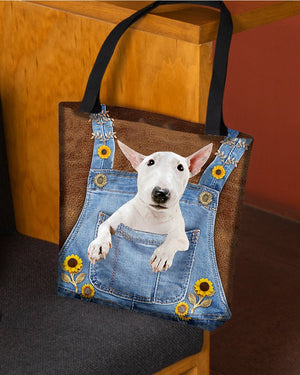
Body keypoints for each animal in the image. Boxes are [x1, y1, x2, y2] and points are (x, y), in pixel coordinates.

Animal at [88, 141, 212, 274]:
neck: (153, 216)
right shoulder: (117, 219)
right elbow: (104, 226)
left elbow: (173, 239)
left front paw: (162, 256)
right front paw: (99, 245)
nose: (161, 193)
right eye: (150, 162)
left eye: (180, 167)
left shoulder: (183, 238)